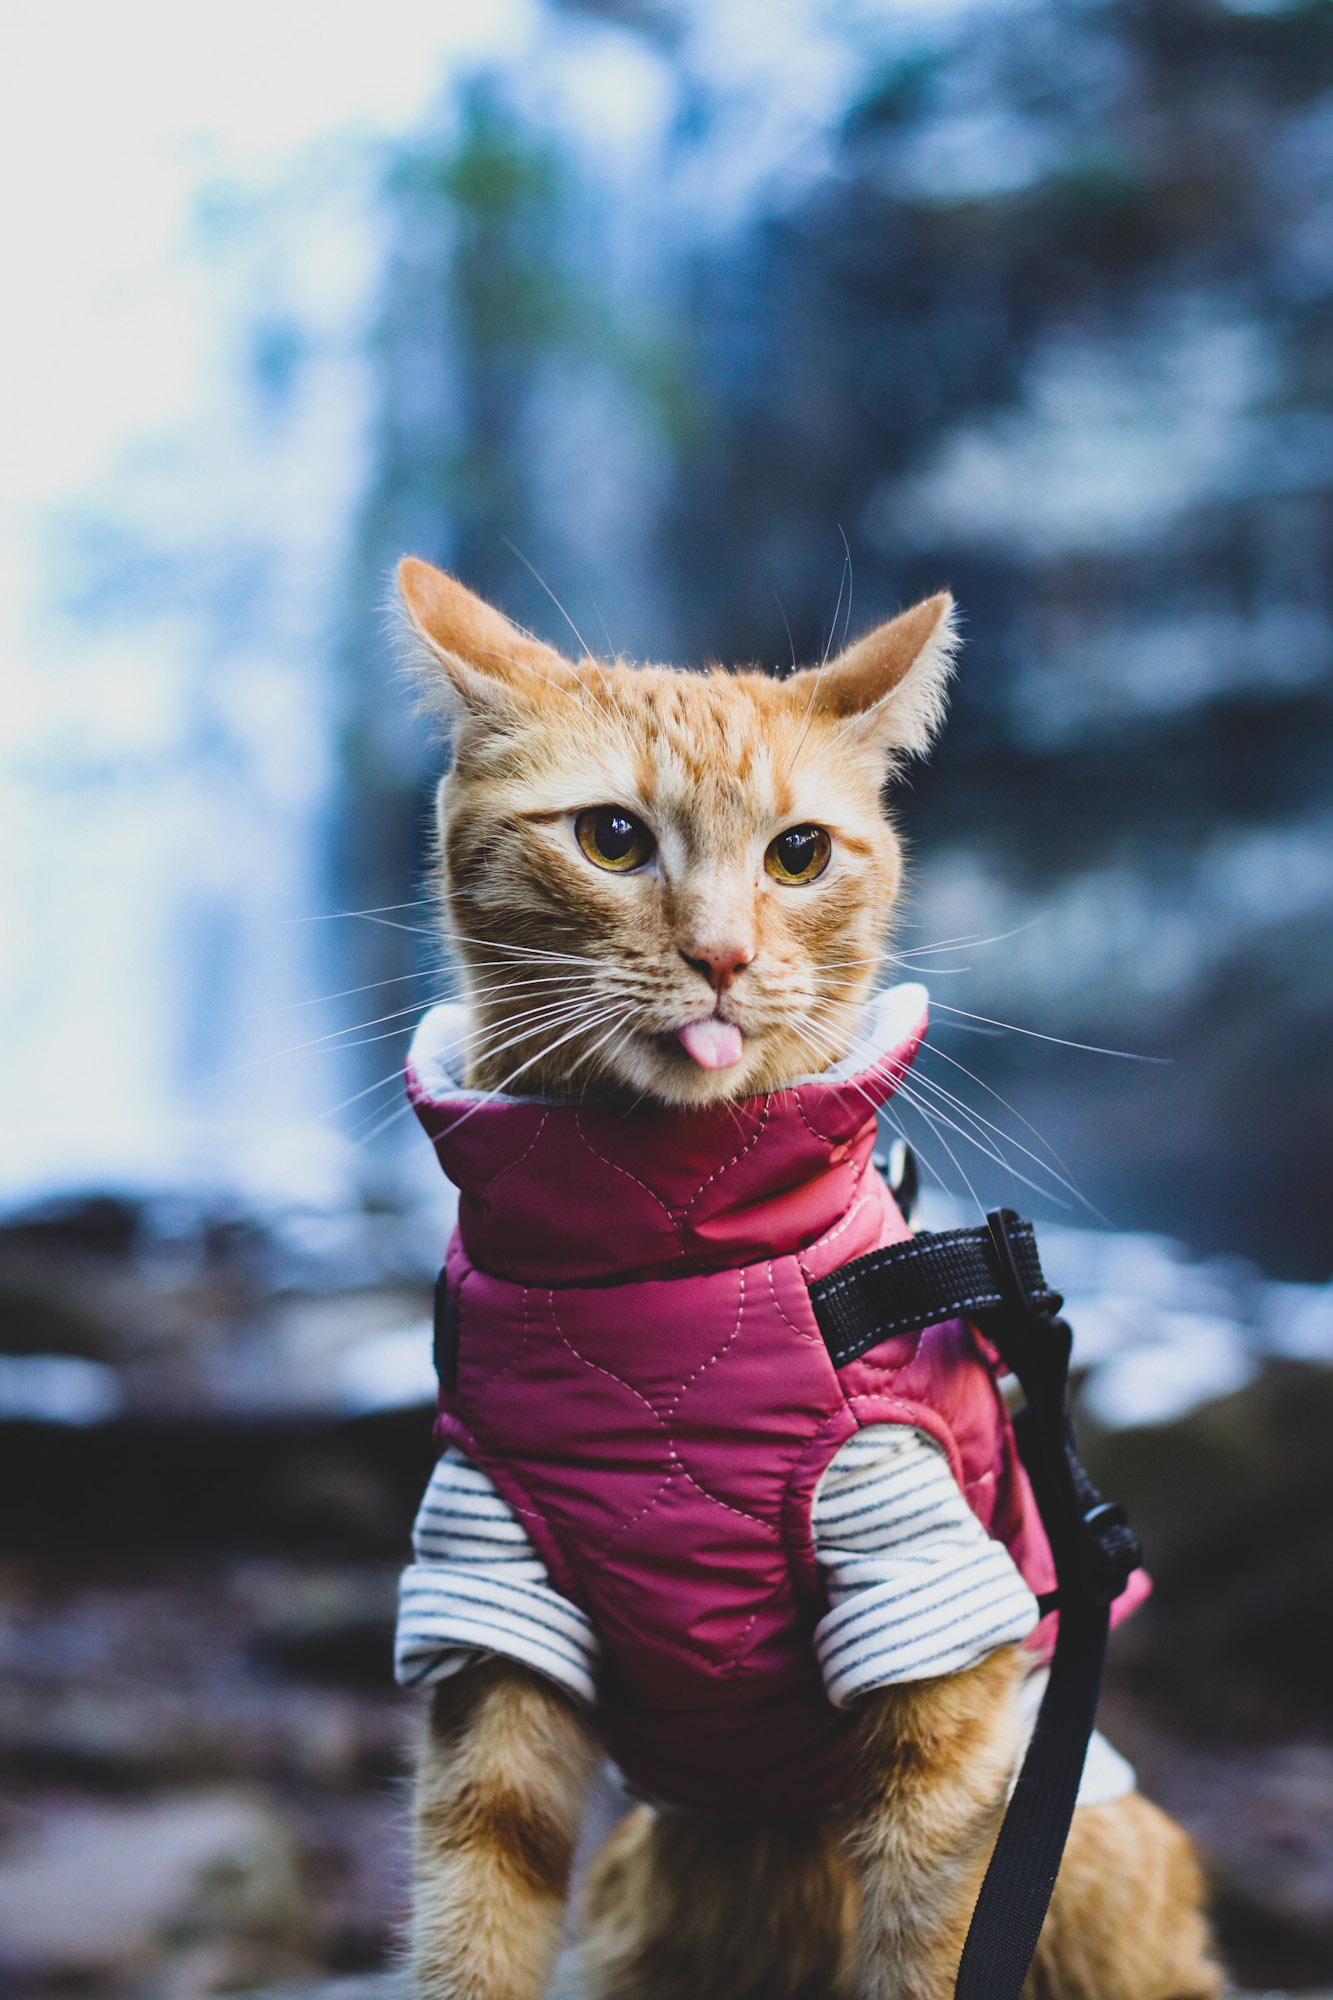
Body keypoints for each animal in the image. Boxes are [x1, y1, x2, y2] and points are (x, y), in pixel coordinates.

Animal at [386, 560, 1216, 2000]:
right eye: (611, 839)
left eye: (798, 854)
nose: (721, 956)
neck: (661, 1270)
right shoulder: (491, 1592)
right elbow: (474, 1910)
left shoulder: (928, 1612)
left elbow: (934, 1935)